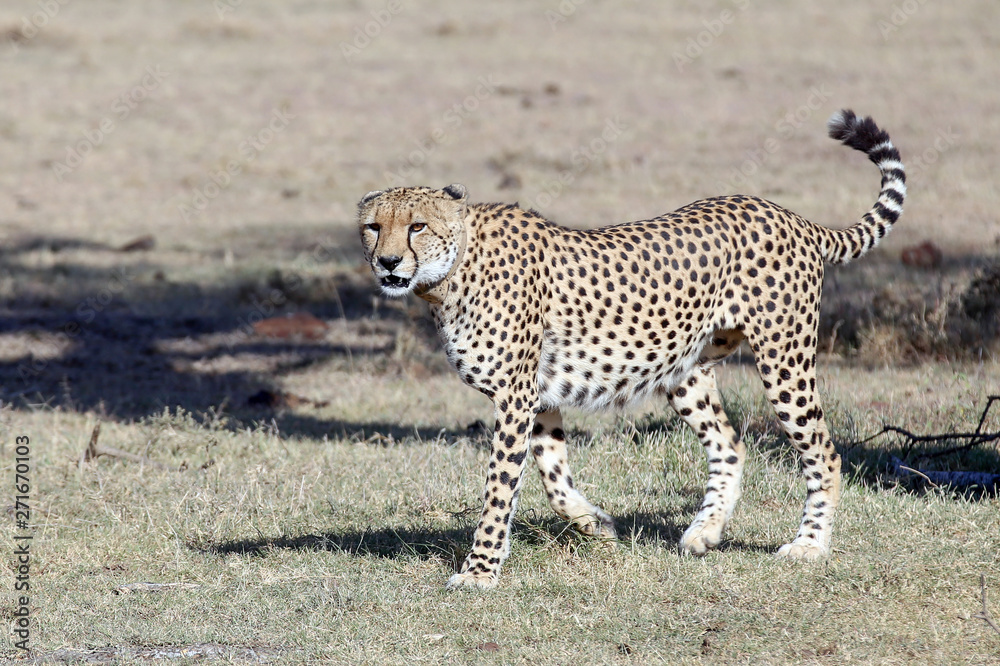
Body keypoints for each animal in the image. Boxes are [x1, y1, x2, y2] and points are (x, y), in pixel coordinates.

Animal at [357, 109, 905, 589]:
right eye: (373, 227)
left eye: (417, 225)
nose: (387, 262)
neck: (450, 275)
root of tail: (786, 214)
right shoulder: (537, 395)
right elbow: (552, 473)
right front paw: (595, 523)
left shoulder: (516, 396)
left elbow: (498, 489)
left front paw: (479, 572)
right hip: (684, 369)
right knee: (730, 443)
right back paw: (705, 532)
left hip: (784, 360)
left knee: (824, 453)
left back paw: (809, 545)